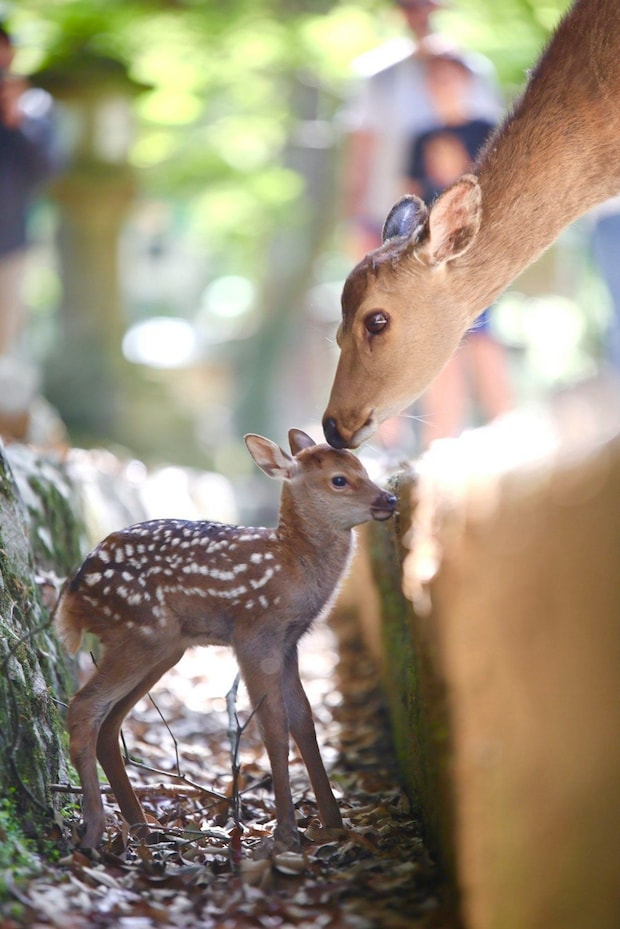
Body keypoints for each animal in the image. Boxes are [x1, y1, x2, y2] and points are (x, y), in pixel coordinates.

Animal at [54, 429, 396, 852]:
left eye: (362, 467)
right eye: (339, 479)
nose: (389, 500)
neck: (291, 565)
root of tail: (74, 591)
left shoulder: (289, 643)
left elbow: (304, 722)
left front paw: (333, 824)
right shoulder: (255, 635)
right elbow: (273, 727)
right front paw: (286, 833)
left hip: (163, 647)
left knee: (110, 720)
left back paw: (143, 828)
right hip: (141, 633)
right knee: (85, 706)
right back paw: (95, 831)